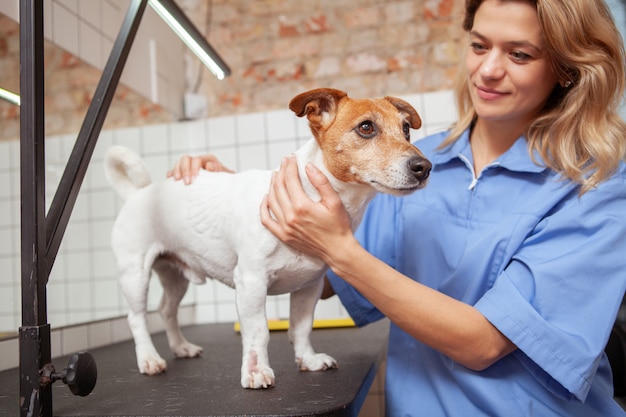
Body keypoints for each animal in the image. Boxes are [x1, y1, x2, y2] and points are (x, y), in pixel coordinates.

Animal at [103, 87, 428, 386]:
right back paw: (149, 358)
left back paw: (181, 347)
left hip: (175, 276)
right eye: (366, 127)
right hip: (135, 274)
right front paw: (256, 372)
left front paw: (308, 360)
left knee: (166, 310)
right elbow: (258, 331)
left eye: (406, 130)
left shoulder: (309, 287)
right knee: (137, 318)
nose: (424, 167)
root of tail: (139, 192)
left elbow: (301, 328)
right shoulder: (251, 282)